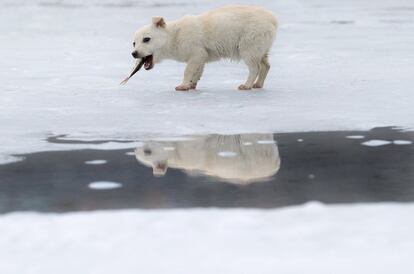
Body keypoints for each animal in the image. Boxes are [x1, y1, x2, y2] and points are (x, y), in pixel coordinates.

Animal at [131, 5, 276, 91]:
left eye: (146, 39)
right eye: (134, 42)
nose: (134, 53)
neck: (174, 36)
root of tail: (273, 20)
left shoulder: (193, 46)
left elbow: (190, 66)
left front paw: (182, 86)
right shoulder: (201, 53)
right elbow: (199, 66)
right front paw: (192, 84)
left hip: (251, 38)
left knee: (253, 63)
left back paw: (246, 85)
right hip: (262, 43)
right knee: (265, 62)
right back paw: (258, 84)